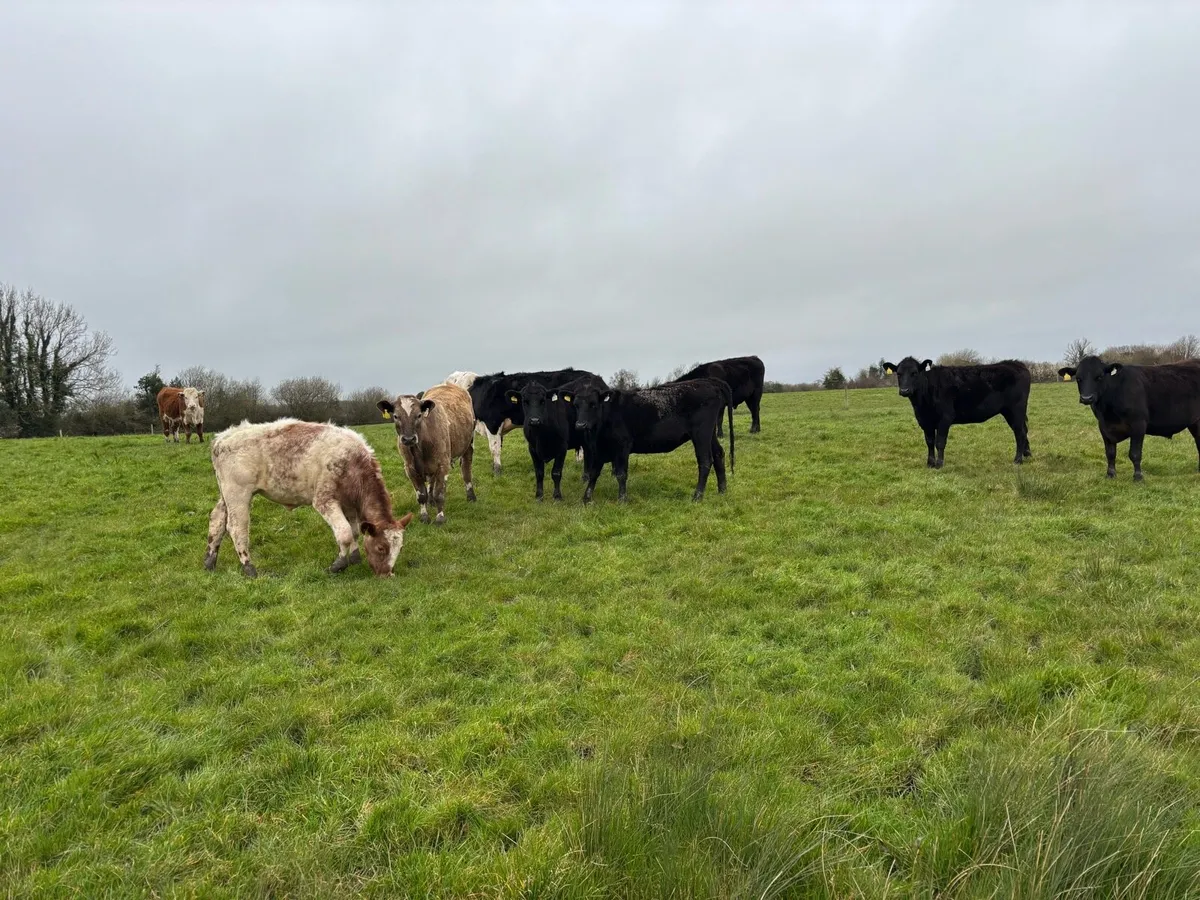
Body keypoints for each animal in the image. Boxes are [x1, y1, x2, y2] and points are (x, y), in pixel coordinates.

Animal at [203, 419, 414, 578]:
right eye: (381, 548)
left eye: (401, 548)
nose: (387, 574)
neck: (352, 462)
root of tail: (222, 437)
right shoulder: (324, 500)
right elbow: (345, 533)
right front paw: (338, 564)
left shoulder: (349, 503)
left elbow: (353, 531)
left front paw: (354, 558)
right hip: (238, 493)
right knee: (236, 527)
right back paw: (249, 568)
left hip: (225, 494)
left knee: (217, 520)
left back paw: (209, 561)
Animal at [378, 382, 477, 525]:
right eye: (396, 416)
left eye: (419, 415)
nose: (408, 439)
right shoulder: (410, 468)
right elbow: (421, 495)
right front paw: (424, 516)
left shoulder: (443, 464)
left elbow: (439, 494)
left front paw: (440, 517)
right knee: (432, 481)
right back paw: (431, 502)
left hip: (469, 444)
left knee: (466, 469)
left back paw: (471, 496)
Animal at [571, 378, 734, 503]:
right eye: (576, 405)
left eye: (593, 404)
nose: (580, 425)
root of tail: (707, 382)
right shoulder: (599, 449)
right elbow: (593, 473)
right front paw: (586, 498)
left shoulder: (623, 446)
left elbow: (621, 474)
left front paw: (622, 500)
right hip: (710, 433)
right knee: (718, 454)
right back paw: (722, 491)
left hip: (701, 433)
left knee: (705, 460)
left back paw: (697, 497)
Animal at [881, 357, 1032, 468]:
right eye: (899, 374)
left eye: (915, 373)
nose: (904, 390)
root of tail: (1015, 363)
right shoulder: (925, 421)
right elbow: (929, 442)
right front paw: (930, 463)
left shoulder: (945, 418)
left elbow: (940, 442)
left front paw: (939, 464)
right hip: (1011, 412)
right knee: (1024, 430)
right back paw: (1027, 454)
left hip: (1015, 409)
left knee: (1019, 433)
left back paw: (1018, 460)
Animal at [1058, 356, 1200, 481]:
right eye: (1078, 378)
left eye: (1099, 377)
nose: (1086, 398)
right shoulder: (1104, 427)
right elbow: (1110, 453)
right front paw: (1110, 475)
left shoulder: (1138, 425)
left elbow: (1135, 454)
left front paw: (1138, 477)